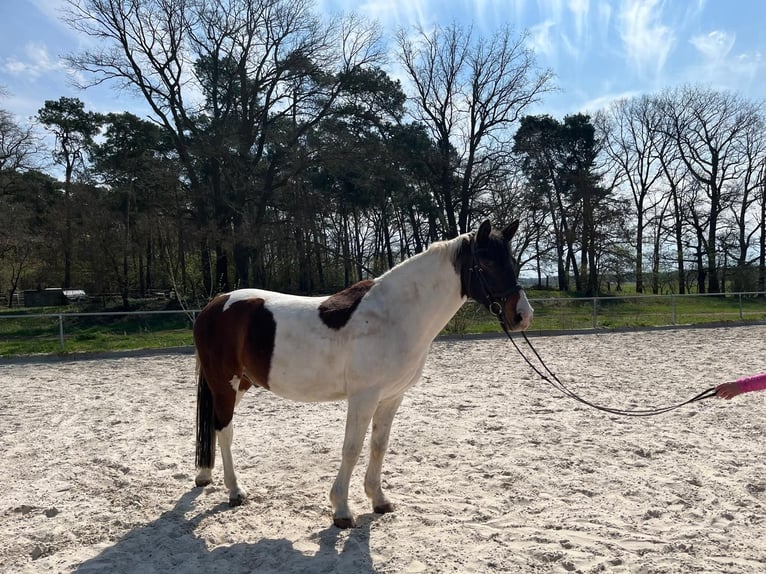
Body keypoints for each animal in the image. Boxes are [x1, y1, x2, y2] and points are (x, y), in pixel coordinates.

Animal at [193, 219, 534, 528]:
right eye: (486, 263)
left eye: (513, 262)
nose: (522, 316)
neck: (394, 315)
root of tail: (214, 305)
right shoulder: (363, 397)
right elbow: (352, 448)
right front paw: (342, 510)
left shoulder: (391, 397)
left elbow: (378, 446)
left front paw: (378, 499)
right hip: (225, 385)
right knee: (225, 431)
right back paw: (235, 491)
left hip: (239, 385)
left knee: (216, 428)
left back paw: (205, 476)